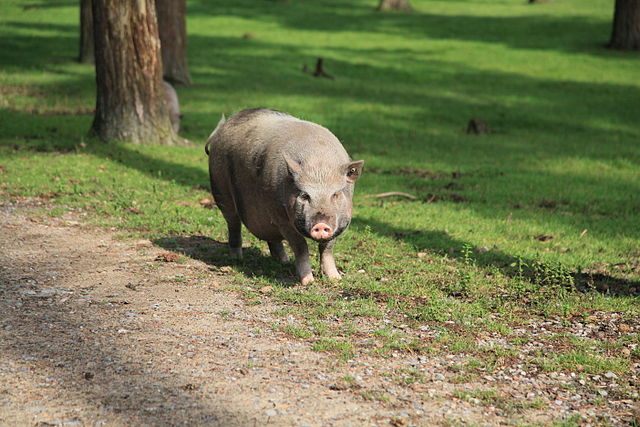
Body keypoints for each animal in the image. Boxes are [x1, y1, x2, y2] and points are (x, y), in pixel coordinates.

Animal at [206, 108, 364, 286]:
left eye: (335, 194)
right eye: (305, 195)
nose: (321, 224)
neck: (318, 164)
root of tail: (221, 128)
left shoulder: (340, 224)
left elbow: (327, 249)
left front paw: (336, 279)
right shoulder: (282, 219)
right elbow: (301, 246)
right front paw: (307, 282)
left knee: (272, 238)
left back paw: (284, 261)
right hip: (220, 189)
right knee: (233, 225)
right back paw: (237, 259)